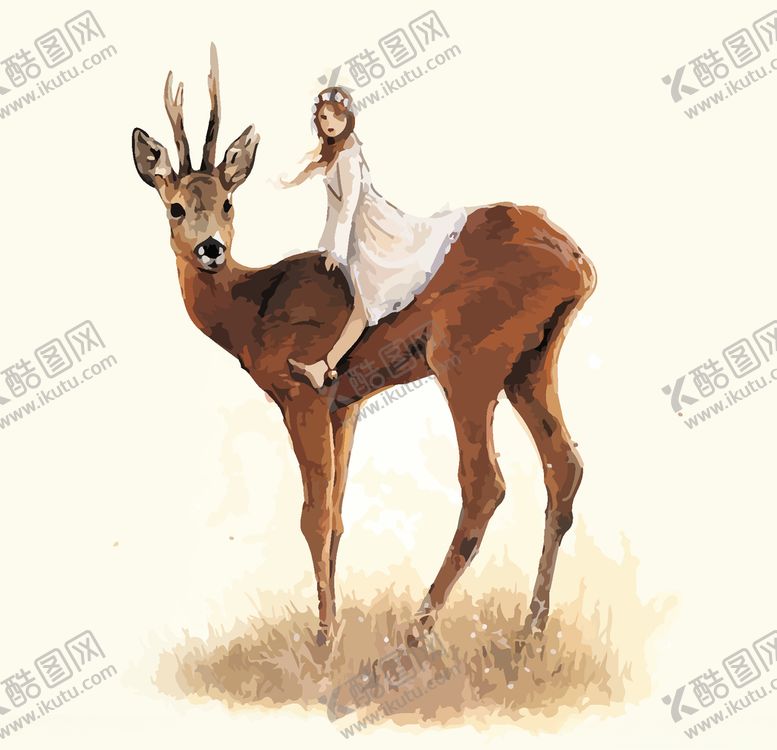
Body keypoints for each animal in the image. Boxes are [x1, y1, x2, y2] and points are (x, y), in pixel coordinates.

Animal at [131, 45, 597, 648]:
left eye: (228, 202)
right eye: (176, 207)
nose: (210, 248)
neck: (254, 306)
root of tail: (579, 262)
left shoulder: (302, 398)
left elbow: (313, 516)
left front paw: (325, 641)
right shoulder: (344, 406)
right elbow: (336, 516)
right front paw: (331, 628)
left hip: (466, 364)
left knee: (484, 485)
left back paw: (417, 633)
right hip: (531, 365)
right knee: (565, 466)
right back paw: (529, 632)